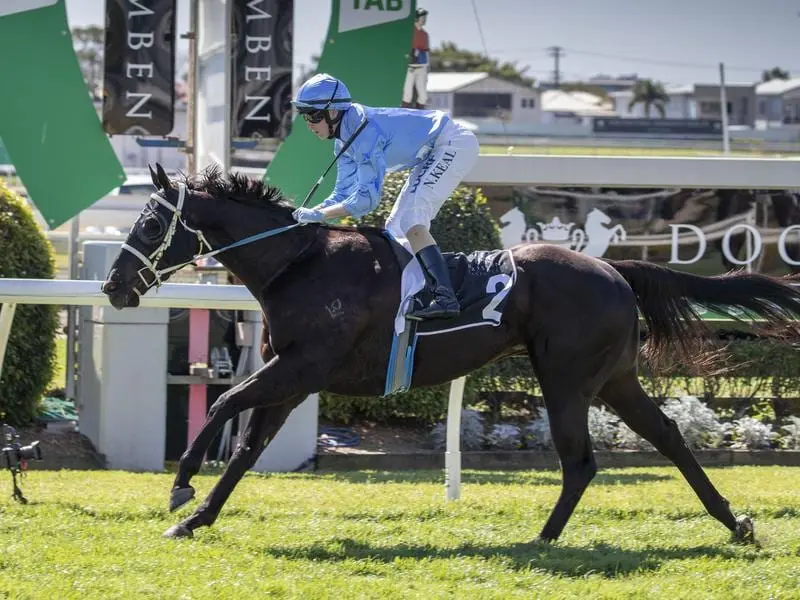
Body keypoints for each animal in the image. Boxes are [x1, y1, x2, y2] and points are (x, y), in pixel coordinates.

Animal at [101, 164, 800, 544]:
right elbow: (247, 450)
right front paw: (195, 518)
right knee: (668, 436)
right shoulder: (294, 376)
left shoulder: (301, 366)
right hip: (613, 378)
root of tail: (613, 268)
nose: (112, 286)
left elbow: (225, 404)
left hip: (568, 378)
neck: (298, 265)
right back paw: (734, 522)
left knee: (580, 461)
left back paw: (543, 538)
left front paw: (182, 484)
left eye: (148, 224)